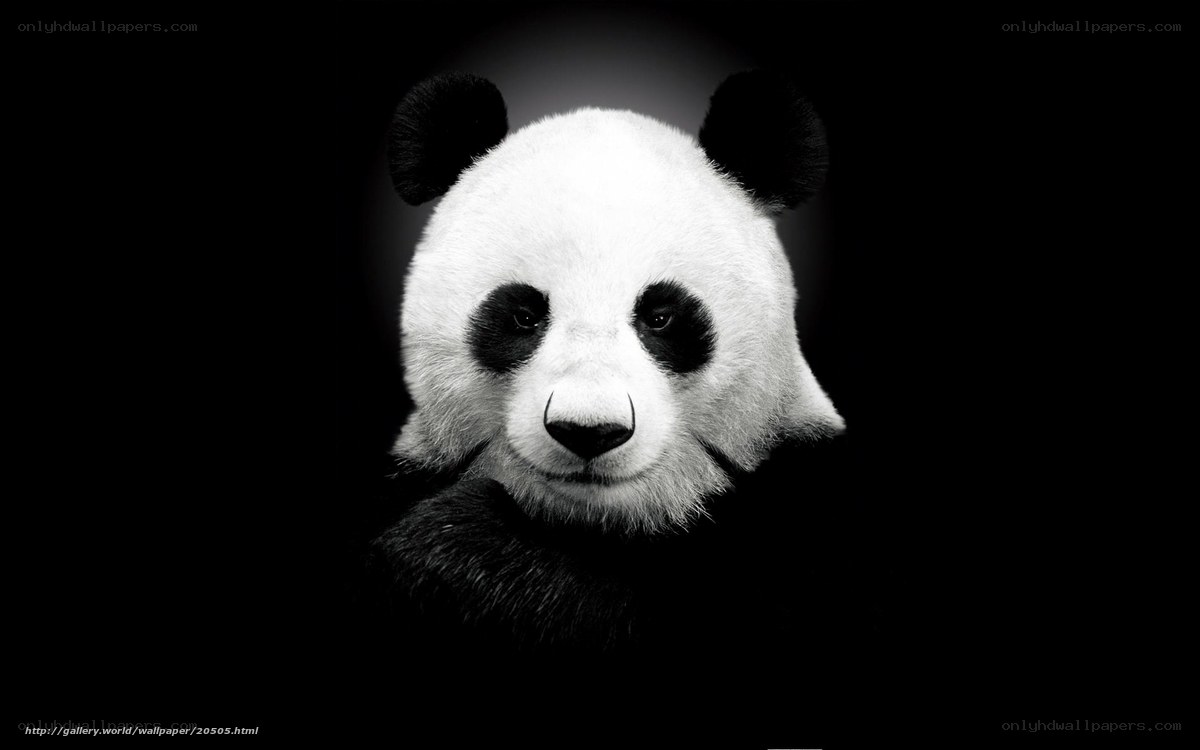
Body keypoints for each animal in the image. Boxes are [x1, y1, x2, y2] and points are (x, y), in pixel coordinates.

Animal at [362, 71, 871, 663]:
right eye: (523, 315)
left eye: (661, 316)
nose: (589, 431)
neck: (600, 522)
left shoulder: (807, 510)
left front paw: (457, 548)